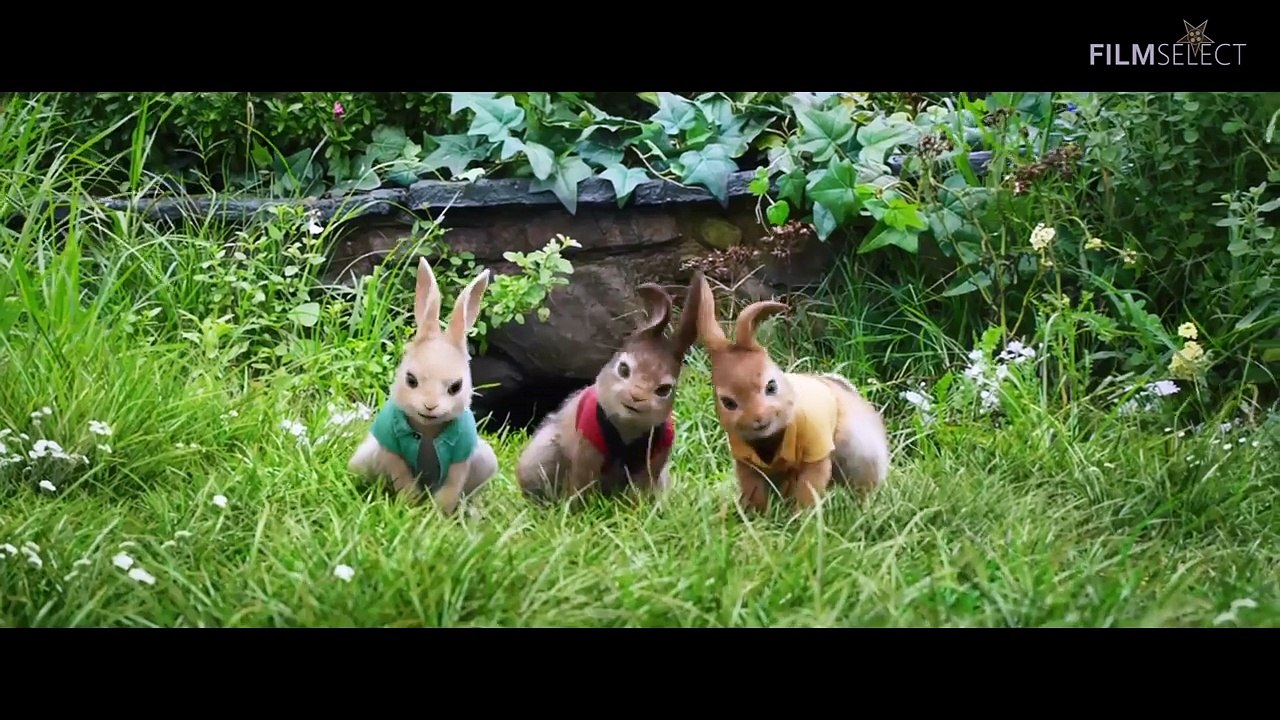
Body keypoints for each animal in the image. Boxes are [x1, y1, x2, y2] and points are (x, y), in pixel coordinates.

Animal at [347, 257, 498, 516]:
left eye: (456, 387)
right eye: (411, 380)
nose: (430, 406)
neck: (428, 430)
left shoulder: (461, 455)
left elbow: (451, 488)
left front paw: (438, 516)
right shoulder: (391, 446)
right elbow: (402, 478)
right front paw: (410, 507)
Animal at [515, 273, 703, 504]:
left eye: (664, 389)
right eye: (623, 368)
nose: (636, 397)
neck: (627, 430)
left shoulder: (657, 454)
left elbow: (642, 487)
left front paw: (638, 507)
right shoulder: (586, 445)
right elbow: (581, 483)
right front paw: (580, 507)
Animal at [690, 273, 890, 513]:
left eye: (771, 387)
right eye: (728, 402)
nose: (758, 418)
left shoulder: (817, 449)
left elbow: (809, 488)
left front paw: (803, 517)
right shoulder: (746, 461)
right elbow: (754, 490)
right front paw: (755, 515)